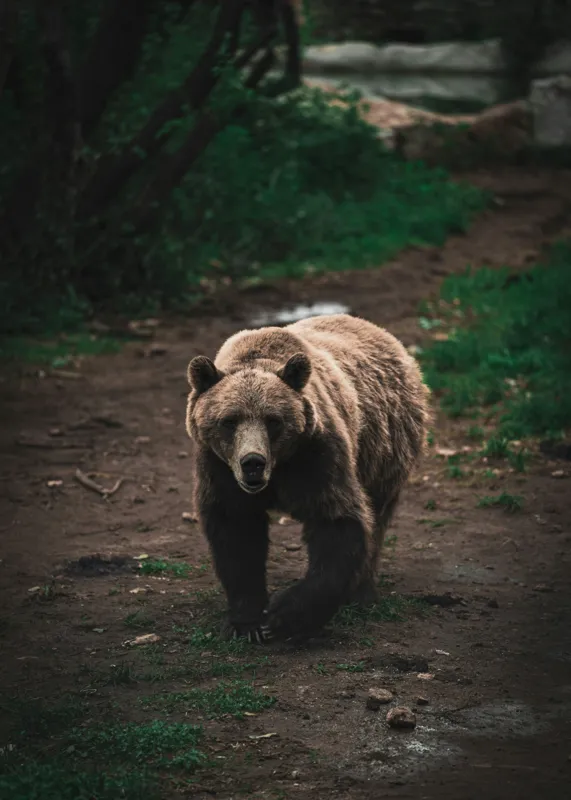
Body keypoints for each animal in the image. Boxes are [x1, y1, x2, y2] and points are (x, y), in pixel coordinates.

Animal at [185, 314, 429, 642]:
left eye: (273, 420)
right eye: (229, 421)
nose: (253, 463)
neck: (279, 469)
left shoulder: (317, 456)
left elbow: (337, 521)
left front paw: (283, 617)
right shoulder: (220, 469)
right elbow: (237, 536)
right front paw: (247, 622)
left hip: (385, 447)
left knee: (377, 516)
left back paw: (361, 592)